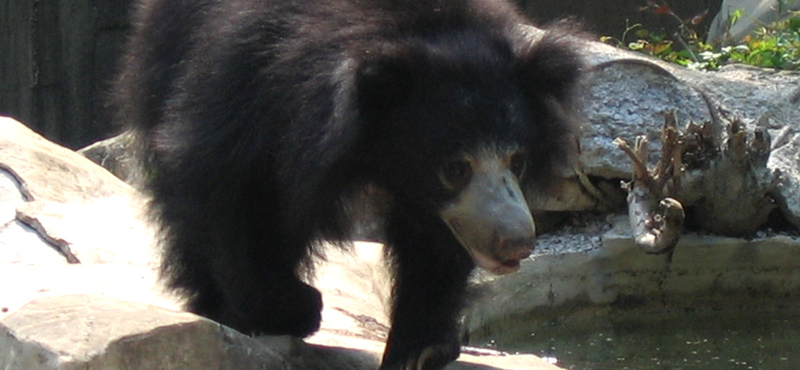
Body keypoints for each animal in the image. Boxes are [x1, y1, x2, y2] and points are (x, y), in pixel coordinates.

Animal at [112, 0, 584, 370]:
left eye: (517, 159)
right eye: (455, 168)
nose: (516, 241)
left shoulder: (432, 200)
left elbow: (432, 242)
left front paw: (421, 348)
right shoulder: (246, 83)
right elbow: (228, 187)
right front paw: (288, 309)